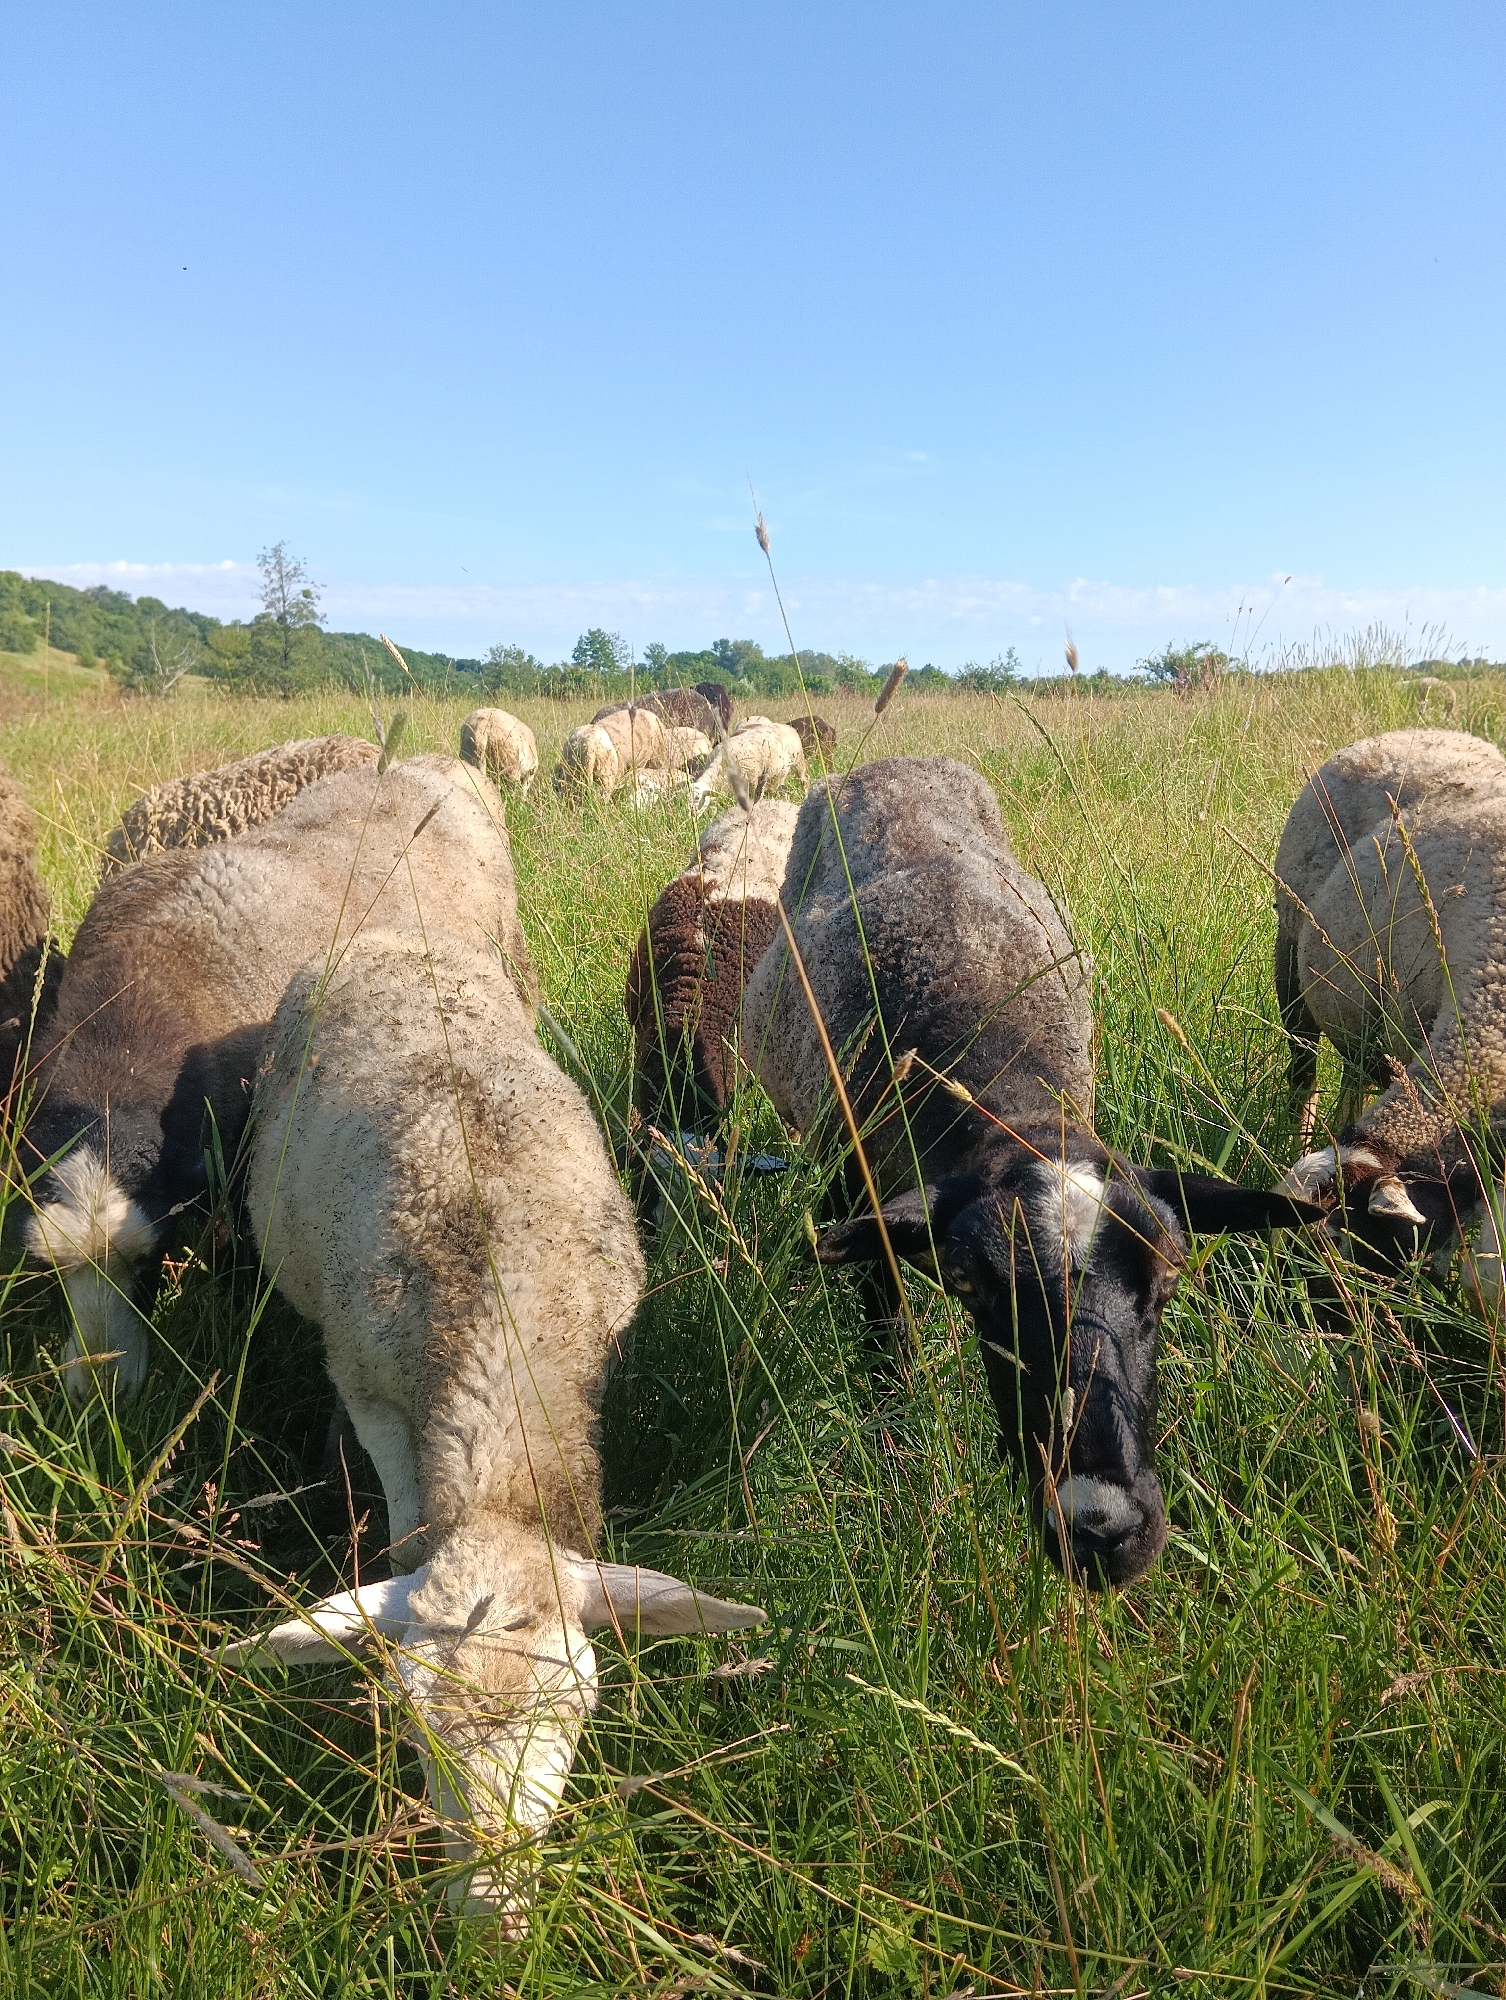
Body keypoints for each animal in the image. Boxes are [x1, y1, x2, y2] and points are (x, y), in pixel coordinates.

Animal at [236, 929, 764, 1922]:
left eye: (579, 1711)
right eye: (408, 1725)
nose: (491, 1911)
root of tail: (390, 932)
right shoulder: (371, 1393)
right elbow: (404, 1533)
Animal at [740, 758, 1319, 1588]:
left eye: (1169, 1280)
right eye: (972, 1285)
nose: (1102, 1530)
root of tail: (896, 763)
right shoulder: (865, 1199)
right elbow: (888, 1350)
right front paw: (897, 1470)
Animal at [1272, 729, 1506, 1280]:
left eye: (1343, 1242)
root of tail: (1395, 736)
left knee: (1351, 1071)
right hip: (1289, 950)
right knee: (1303, 1069)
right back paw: (1300, 1131)